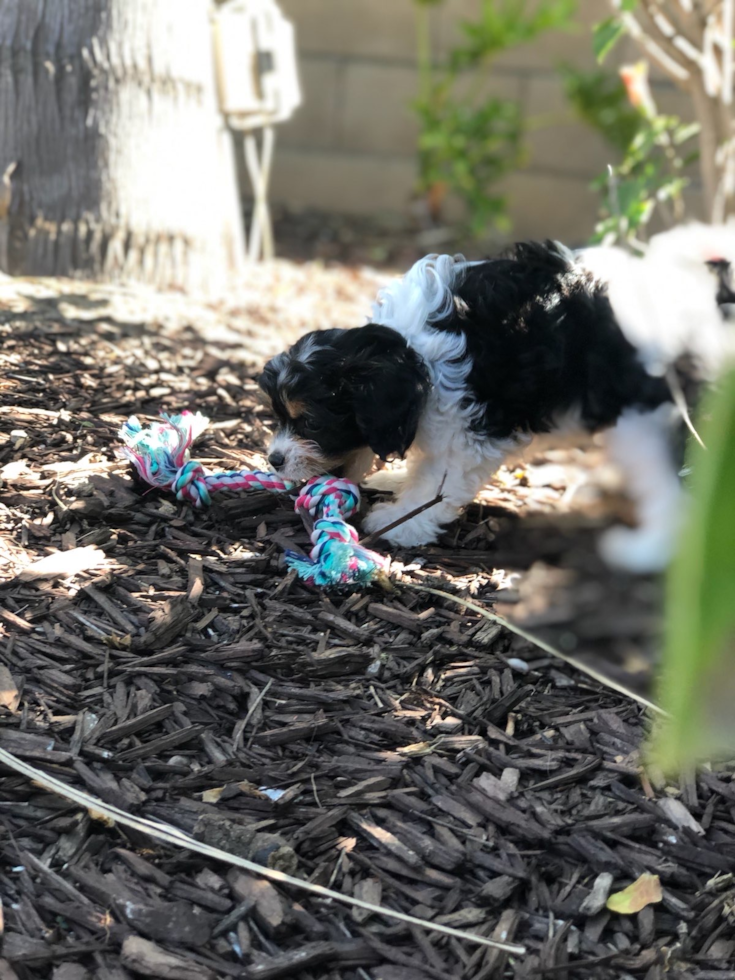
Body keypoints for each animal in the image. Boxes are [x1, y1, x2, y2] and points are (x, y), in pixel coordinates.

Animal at [260, 222, 735, 576]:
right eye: (279, 416)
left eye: (312, 423)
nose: (274, 459)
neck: (414, 355)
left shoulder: (471, 429)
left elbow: (439, 483)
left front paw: (404, 520)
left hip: (647, 422)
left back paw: (646, 552)